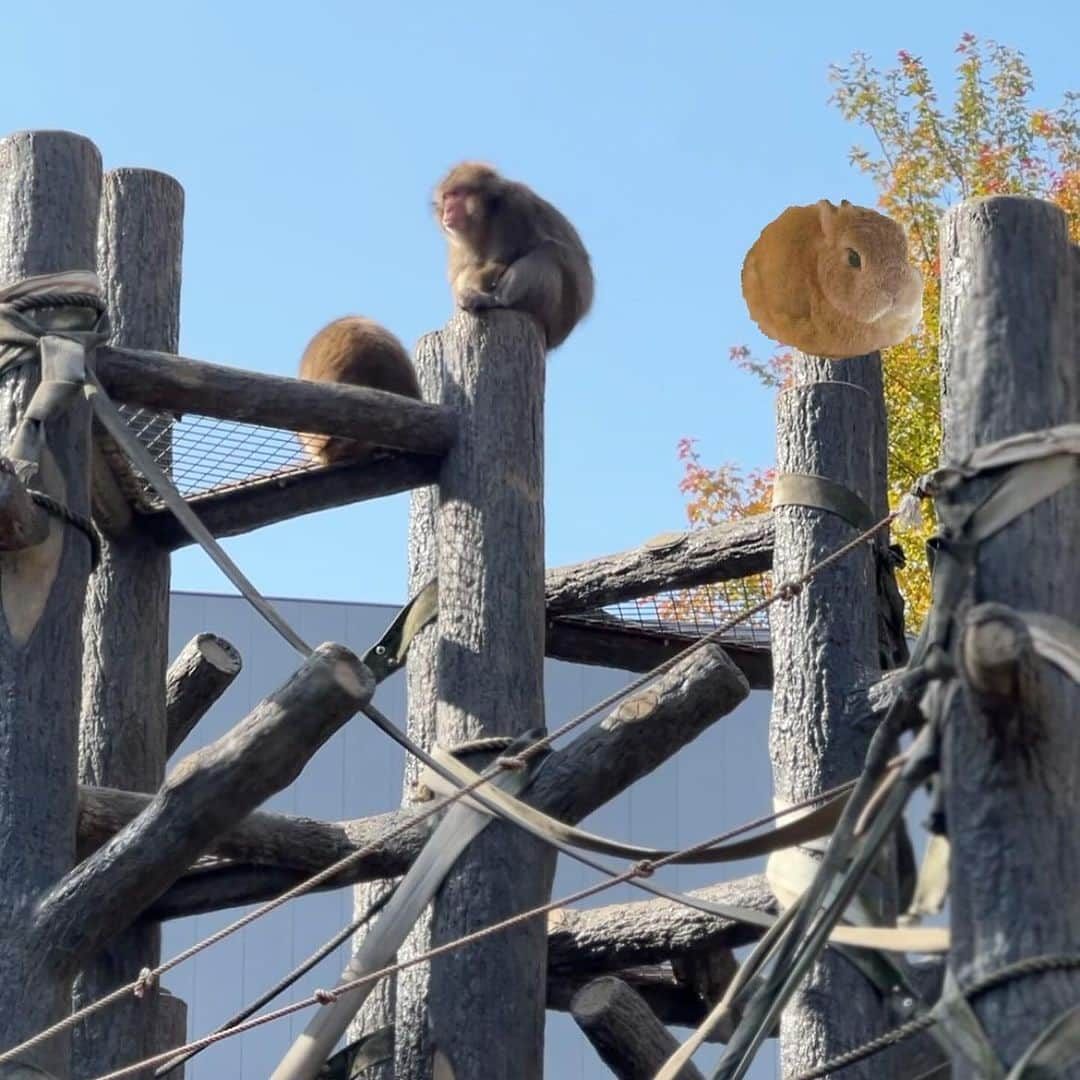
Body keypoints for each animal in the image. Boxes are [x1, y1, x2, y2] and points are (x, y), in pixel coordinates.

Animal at [434, 159, 596, 349]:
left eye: (457, 194)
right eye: (447, 197)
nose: (447, 210)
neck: (487, 216)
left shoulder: (514, 209)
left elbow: (498, 263)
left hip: (558, 314)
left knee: (548, 251)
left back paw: (497, 300)